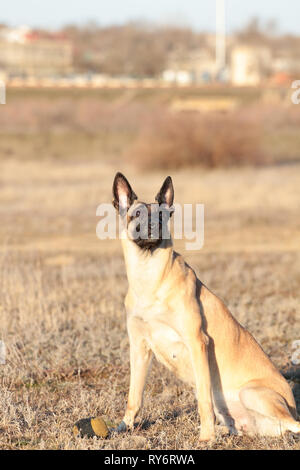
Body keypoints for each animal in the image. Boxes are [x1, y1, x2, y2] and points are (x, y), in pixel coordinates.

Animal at [111, 172, 298, 440]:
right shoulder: (139, 348)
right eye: (136, 214)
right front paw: (123, 428)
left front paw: (205, 438)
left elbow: (204, 402)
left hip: (251, 393)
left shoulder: (197, 342)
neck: (151, 280)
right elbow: (134, 397)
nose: (152, 226)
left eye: (161, 215)